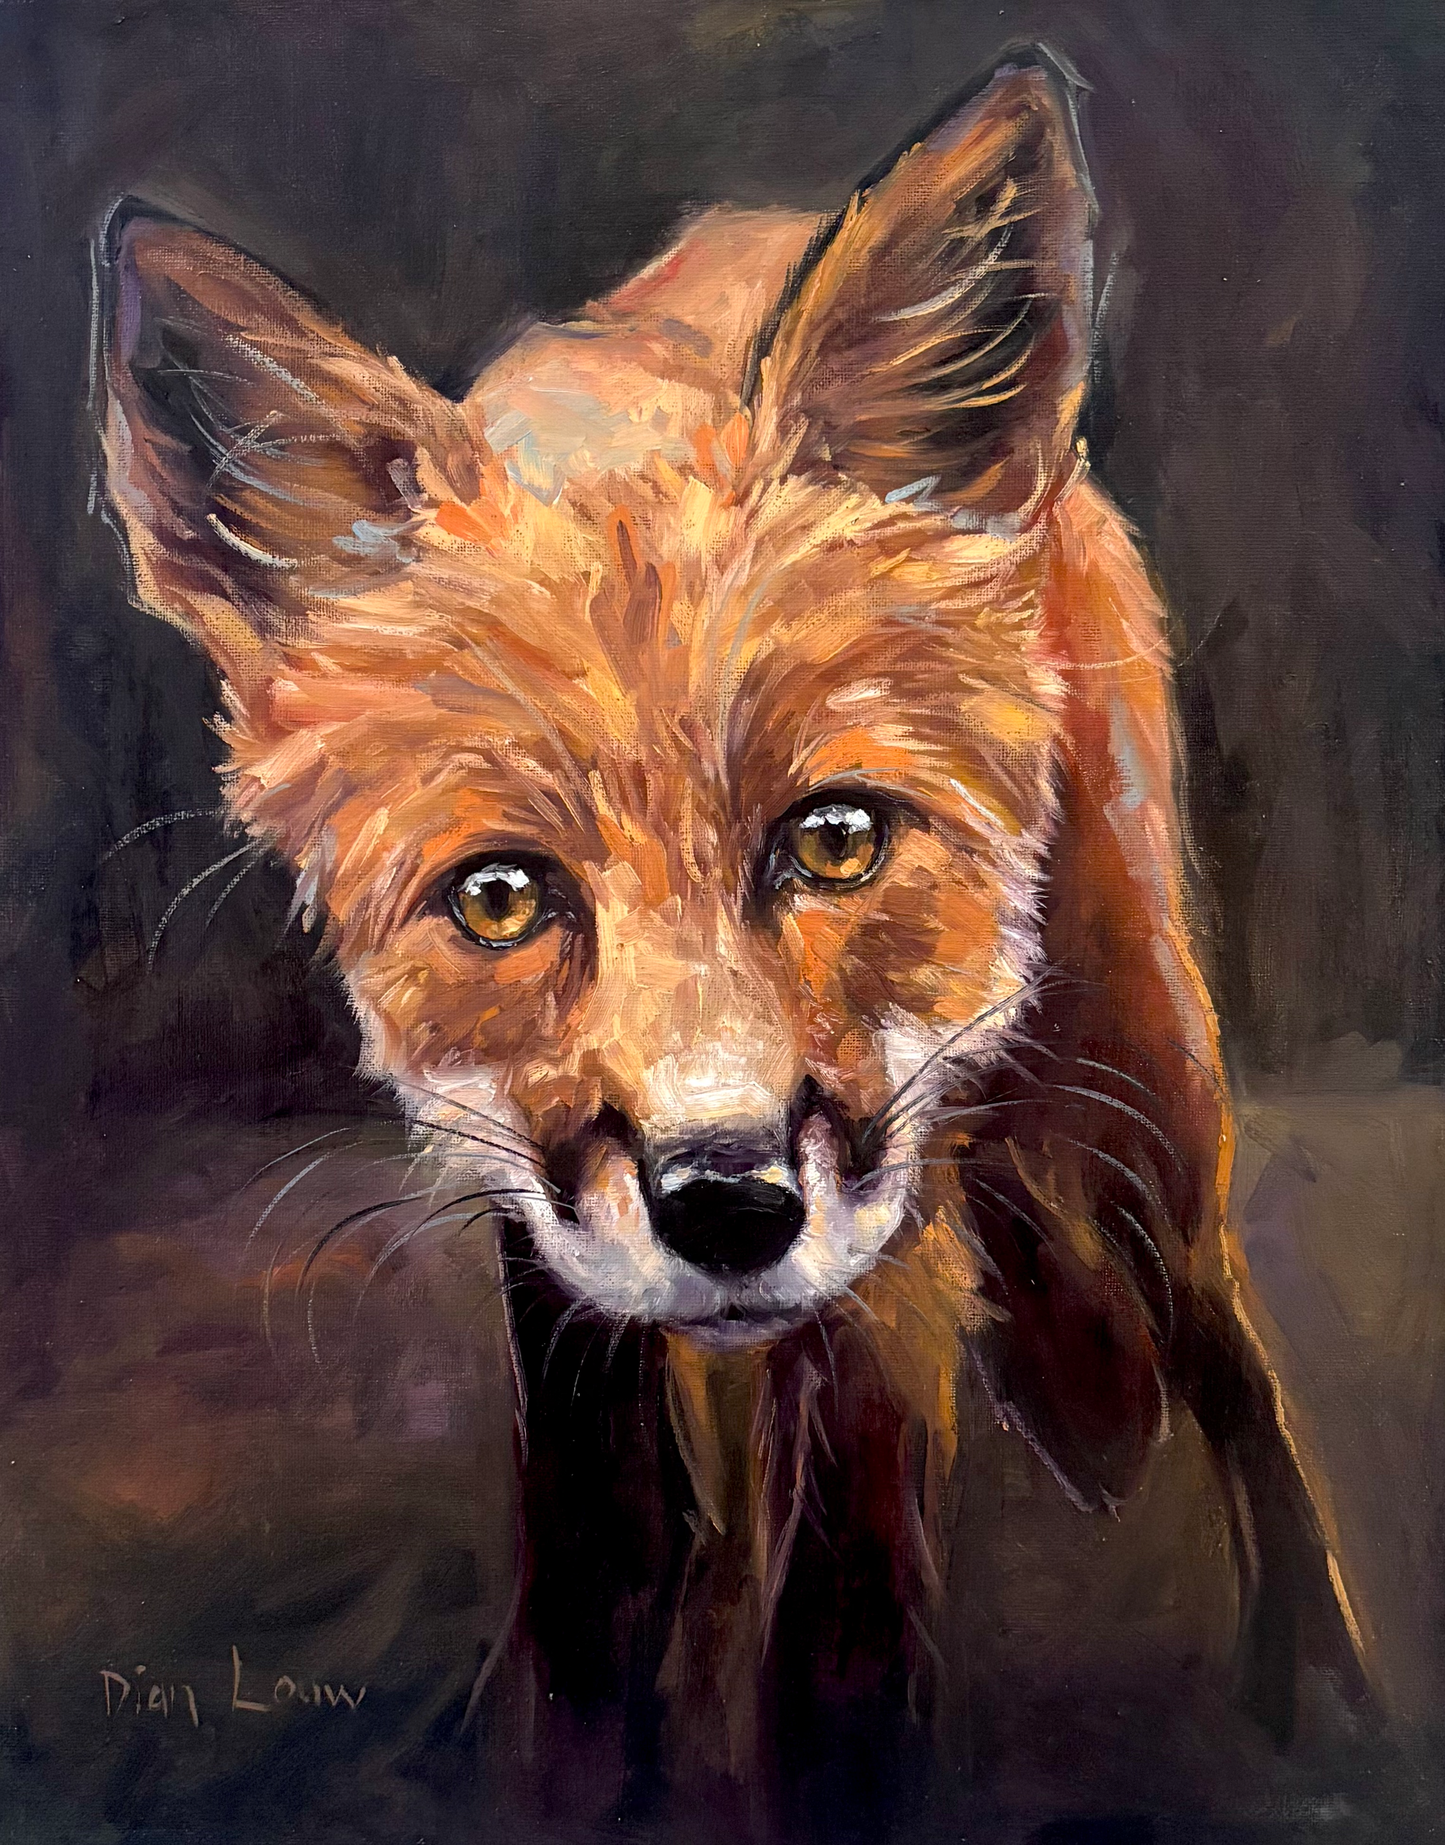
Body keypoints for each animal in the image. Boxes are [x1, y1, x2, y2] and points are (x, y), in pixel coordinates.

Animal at [97, 44, 1370, 1836]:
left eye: (833, 838)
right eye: (501, 897)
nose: (728, 1204)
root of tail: (763, 218)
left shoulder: (887, 1258)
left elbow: (848, 1614)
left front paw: (838, 1763)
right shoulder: (555, 1270)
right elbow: (600, 1568)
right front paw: (582, 1762)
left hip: (1143, 1100)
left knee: (1230, 1360)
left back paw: (1322, 1698)